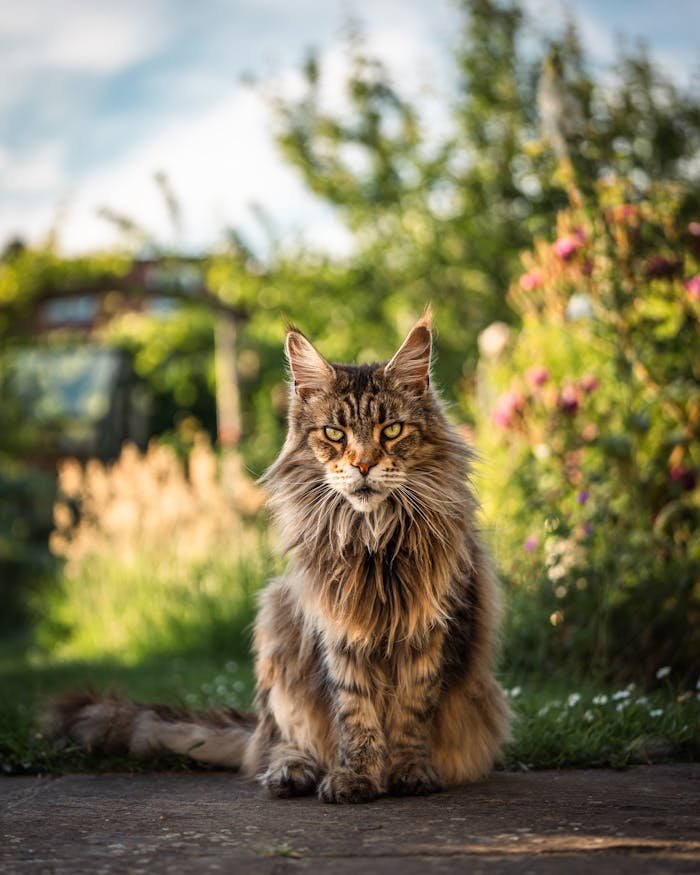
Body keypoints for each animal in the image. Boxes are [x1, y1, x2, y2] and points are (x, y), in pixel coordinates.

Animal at [46, 312, 512, 804]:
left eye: (391, 431)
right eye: (334, 434)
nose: (364, 465)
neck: (371, 537)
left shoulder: (433, 629)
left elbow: (410, 713)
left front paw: (409, 774)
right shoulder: (337, 632)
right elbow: (356, 717)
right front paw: (357, 778)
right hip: (276, 622)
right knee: (282, 743)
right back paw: (291, 773)